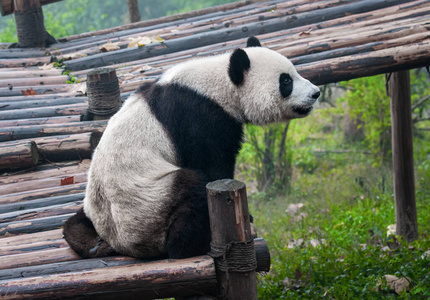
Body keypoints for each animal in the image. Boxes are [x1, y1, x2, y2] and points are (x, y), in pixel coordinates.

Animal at [63, 36, 320, 258]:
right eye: (286, 81)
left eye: (294, 73)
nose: (316, 93)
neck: (220, 84)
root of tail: (119, 243)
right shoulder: (199, 116)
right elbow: (213, 166)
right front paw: (248, 217)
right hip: (148, 205)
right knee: (191, 188)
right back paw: (191, 246)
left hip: (100, 206)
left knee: (77, 220)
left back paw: (87, 240)